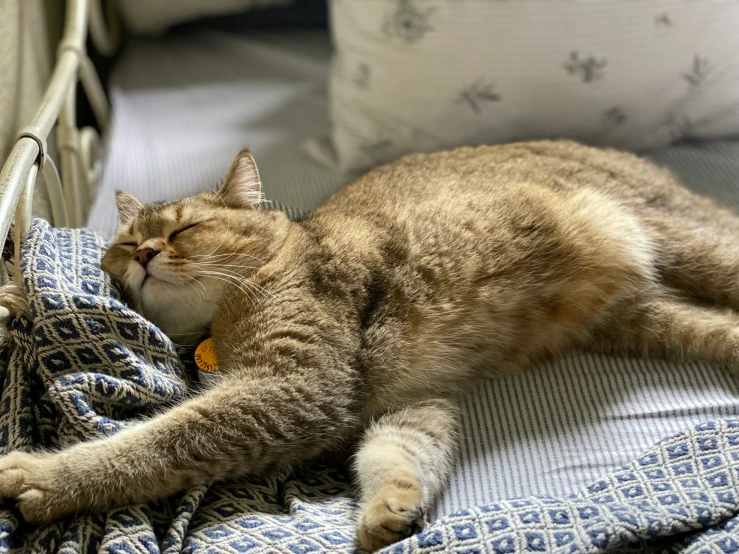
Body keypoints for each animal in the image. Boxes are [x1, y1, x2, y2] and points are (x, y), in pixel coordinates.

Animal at [1, 141, 739, 548]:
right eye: (125, 243)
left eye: (182, 231)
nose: (146, 253)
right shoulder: (408, 401)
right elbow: (397, 454)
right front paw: (389, 508)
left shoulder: (289, 389)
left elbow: (154, 442)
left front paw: (42, 476)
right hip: (652, 322)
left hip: (690, 247)